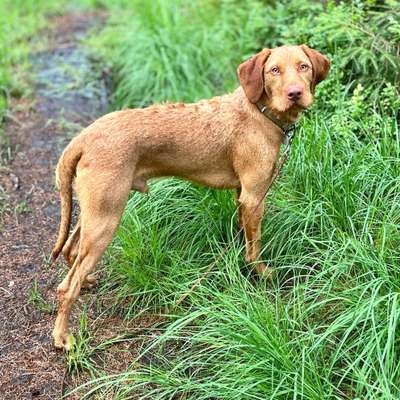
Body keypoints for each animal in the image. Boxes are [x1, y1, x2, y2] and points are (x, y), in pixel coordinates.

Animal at [51, 44, 330, 350]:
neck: (258, 110)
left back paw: (87, 281)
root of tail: (82, 138)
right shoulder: (255, 196)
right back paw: (62, 336)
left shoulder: (242, 196)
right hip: (106, 218)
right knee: (66, 286)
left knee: (71, 250)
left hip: (94, 211)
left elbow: (244, 235)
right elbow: (255, 247)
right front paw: (261, 273)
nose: (295, 93)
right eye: (274, 70)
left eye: (303, 66)